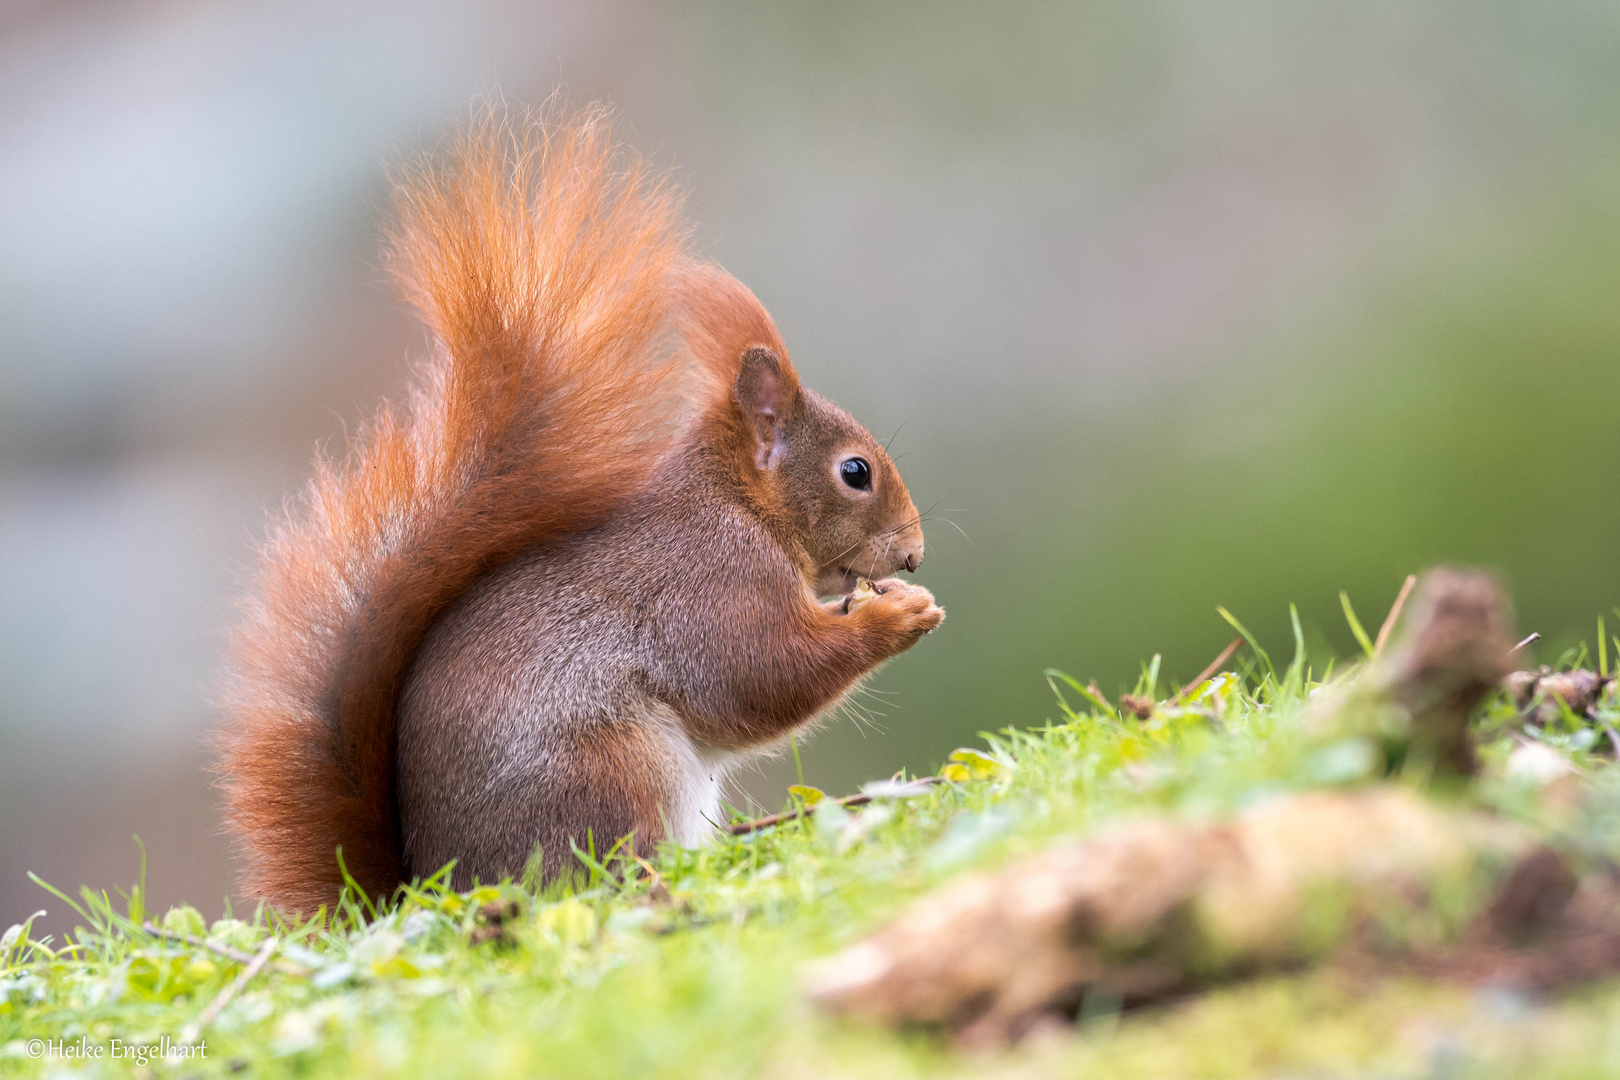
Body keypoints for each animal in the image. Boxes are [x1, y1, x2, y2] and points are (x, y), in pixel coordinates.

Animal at [221, 107, 946, 913]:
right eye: (855, 473)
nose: (914, 554)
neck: (737, 504)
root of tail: (431, 887)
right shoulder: (711, 582)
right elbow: (761, 675)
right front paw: (900, 614)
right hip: (610, 767)